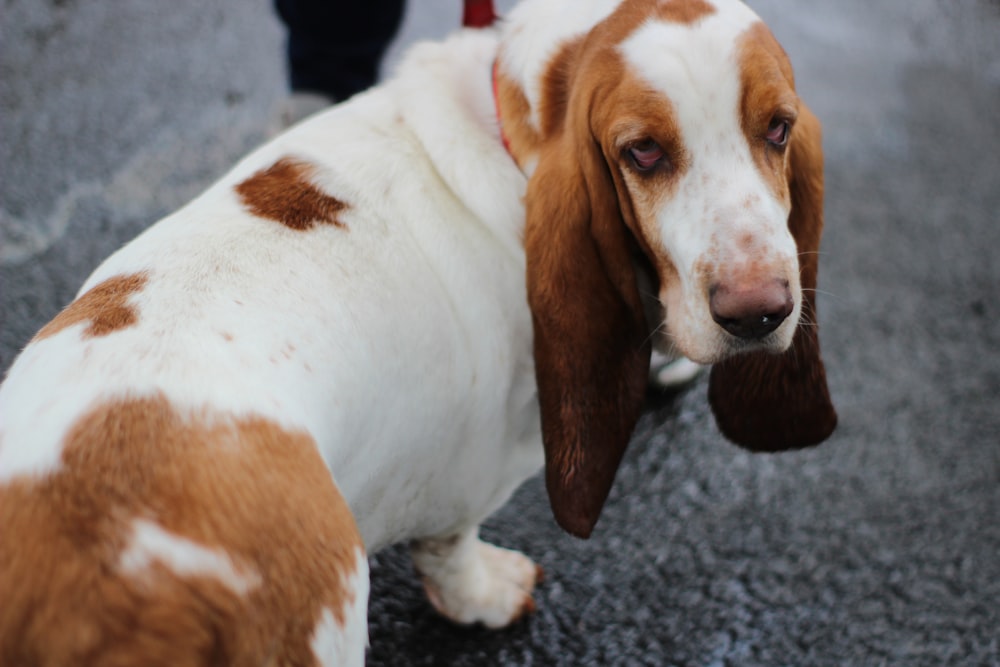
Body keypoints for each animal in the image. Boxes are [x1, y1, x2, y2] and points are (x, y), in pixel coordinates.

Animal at [0, 2, 836, 664]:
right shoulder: (469, 472)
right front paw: (488, 594)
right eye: (644, 152)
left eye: (778, 128)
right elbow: (451, 547)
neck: (515, 129)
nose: (757, 311)